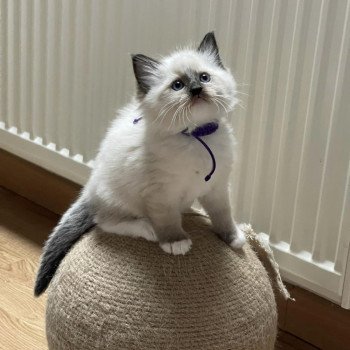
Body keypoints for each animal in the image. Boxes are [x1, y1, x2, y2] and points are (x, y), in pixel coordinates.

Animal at [34, 32, 245, 298]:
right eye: (178, 85)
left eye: (204, 77)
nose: (197, 90)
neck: (197, 136)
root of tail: (89, 190)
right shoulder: (161, 194)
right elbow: (168, 220)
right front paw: (176, 242)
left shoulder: (217, 188)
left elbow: (223, 215)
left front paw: (233, 238)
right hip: (119, 199)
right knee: (105, 222)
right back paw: (149, 229)